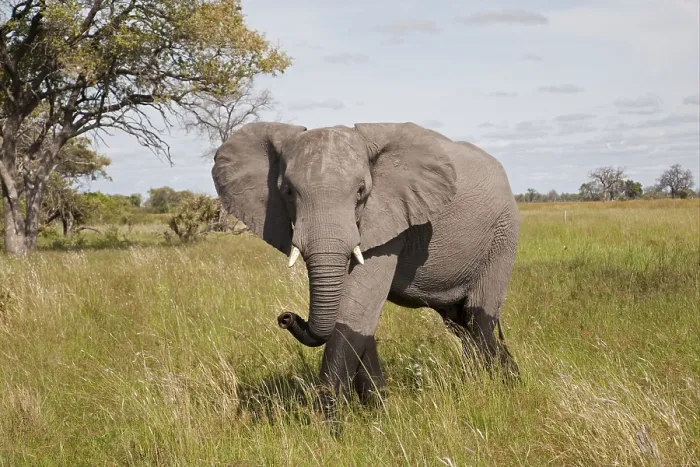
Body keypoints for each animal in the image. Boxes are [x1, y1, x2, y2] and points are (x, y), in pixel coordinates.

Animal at [211, 121, 520, 413]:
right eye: (287, 191)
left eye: (361, 191)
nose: (285, 317)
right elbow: (358, 317)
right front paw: (378, 412)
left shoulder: (389, 218)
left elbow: (355, 312)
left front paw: (329, 425)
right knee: (459, 323)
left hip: (503, 236)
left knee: (477, 319)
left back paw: (504, 386)